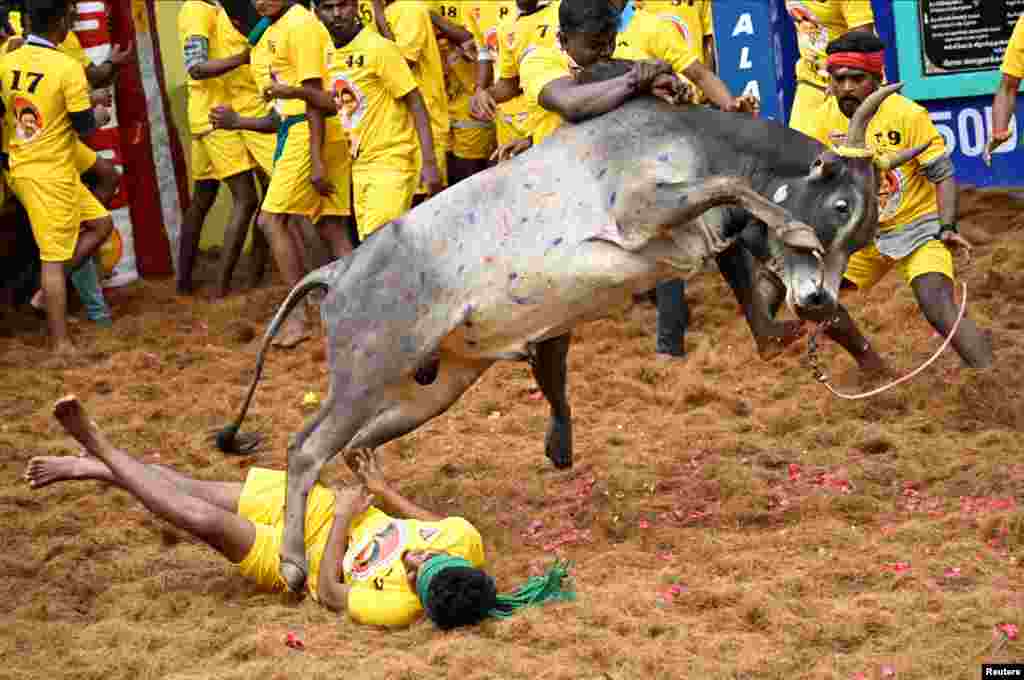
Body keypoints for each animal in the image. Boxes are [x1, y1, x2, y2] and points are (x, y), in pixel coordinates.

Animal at [218, 78, 929, 589]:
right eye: (840, 205)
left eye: (862, 234)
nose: (818, 297)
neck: (697, 135)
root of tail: (338, 270)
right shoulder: (644, 208)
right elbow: (733, 190)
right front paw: (793, 228)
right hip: (363, 375)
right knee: (305, 450)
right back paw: (292, 565)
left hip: (434, 387)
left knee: (357, 451)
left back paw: (412, 515)